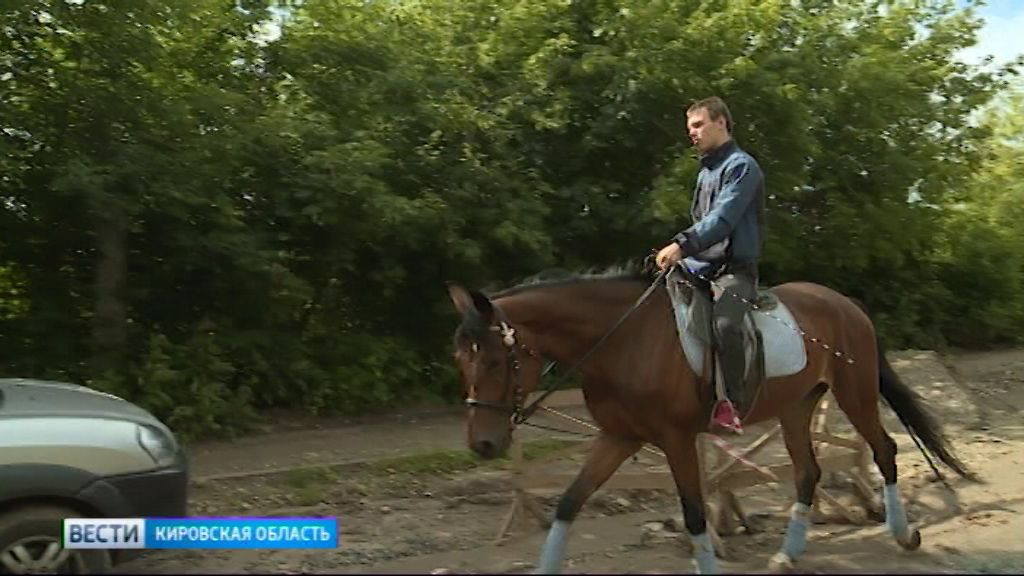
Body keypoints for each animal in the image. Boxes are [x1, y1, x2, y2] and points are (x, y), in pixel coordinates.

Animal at [448, 262, 974, 569]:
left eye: (493, 361)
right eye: (461, 360)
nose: (482, 444)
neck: (623, 341)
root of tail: (846, 302)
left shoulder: (677, 439)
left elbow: (696, 515)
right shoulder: (618, 437)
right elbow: (568, 504)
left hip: (855, 392)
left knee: (883, 449)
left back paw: (903, 535)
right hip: (798, 406)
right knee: (808, 471)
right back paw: (787, 554)